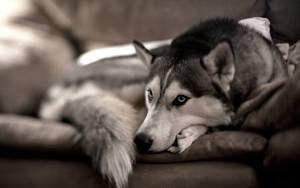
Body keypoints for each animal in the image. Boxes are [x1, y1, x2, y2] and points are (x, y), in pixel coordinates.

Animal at [38, 18, 288, 188]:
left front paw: (190, 132)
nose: (140, 141)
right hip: (133, 76)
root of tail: (55, 93)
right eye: (150, 94)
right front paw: (190, 133)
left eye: (181, 99)